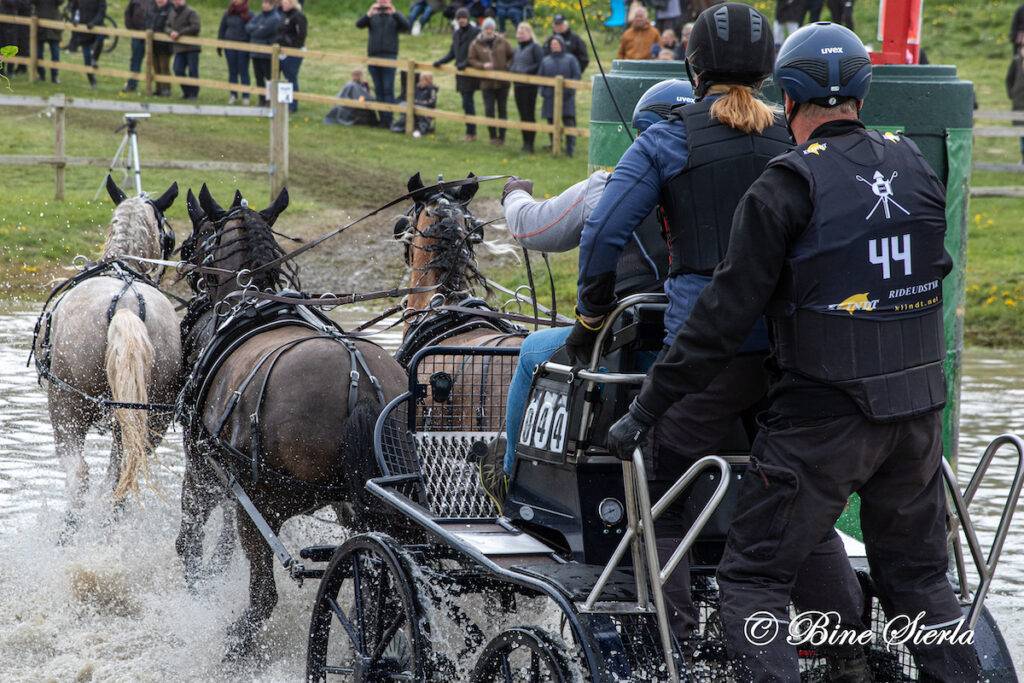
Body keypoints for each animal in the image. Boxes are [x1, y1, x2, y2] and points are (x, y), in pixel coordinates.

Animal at [175, 185, 408, 662]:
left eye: (198, 237)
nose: (185, 264)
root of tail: (359, 380)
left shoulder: (203, 467)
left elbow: (190, 535)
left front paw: (195, 592)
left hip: (264, 504)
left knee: (265, 595)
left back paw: (238, 643)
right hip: (360, 504)